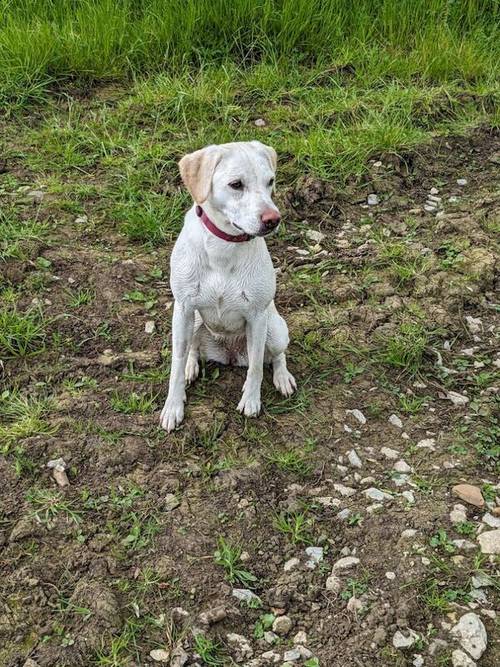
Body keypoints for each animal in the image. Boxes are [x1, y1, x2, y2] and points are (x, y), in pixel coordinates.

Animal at [160, 142, 294, 434]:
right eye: (236, 184)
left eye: (270, 181)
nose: (273, 219)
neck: (224, 246)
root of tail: (230, 354)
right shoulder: (183, 310)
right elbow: (176, 362)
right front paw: (173, 406)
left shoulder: (257, 316)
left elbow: (255, 368)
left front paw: (251, 401)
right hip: (195, 321)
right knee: (192, 349)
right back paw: (191, 367)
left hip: (275, 329)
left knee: (276, 356)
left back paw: (283, 377)